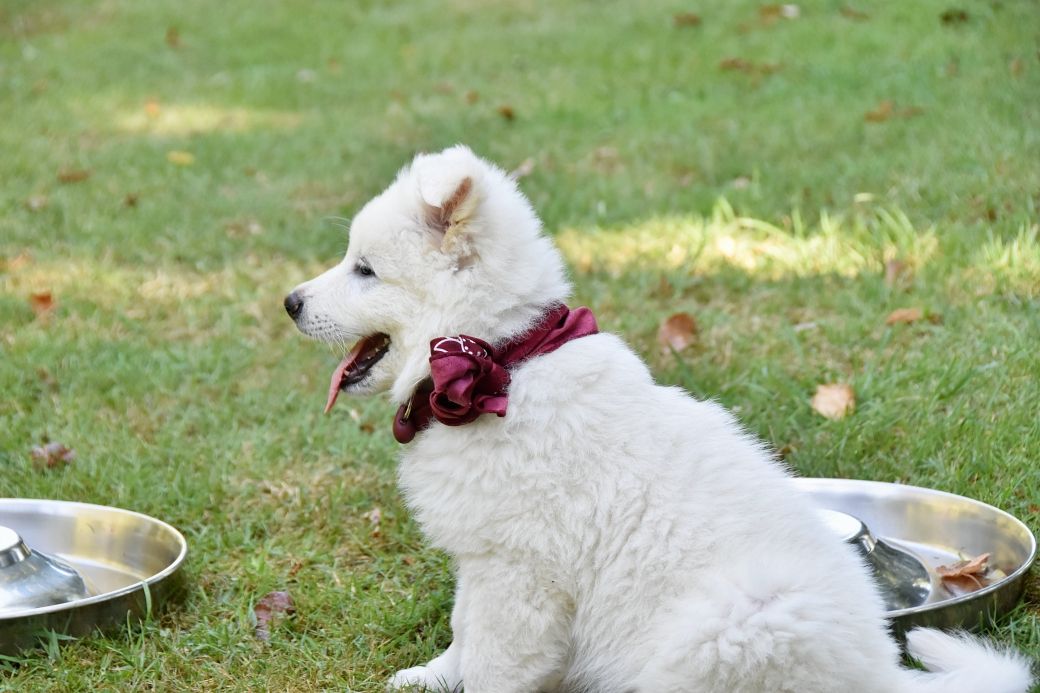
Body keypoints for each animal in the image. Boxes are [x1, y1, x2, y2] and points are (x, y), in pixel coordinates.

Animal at [285, 145, 1033, 693]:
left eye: (364, 270)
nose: (290, 301)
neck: (502, 361)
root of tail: (880, 675)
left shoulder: (520, 572)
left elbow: (494, 661)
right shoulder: (484, 557)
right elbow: (463, 629)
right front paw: (432, 675)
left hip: (724, 625)